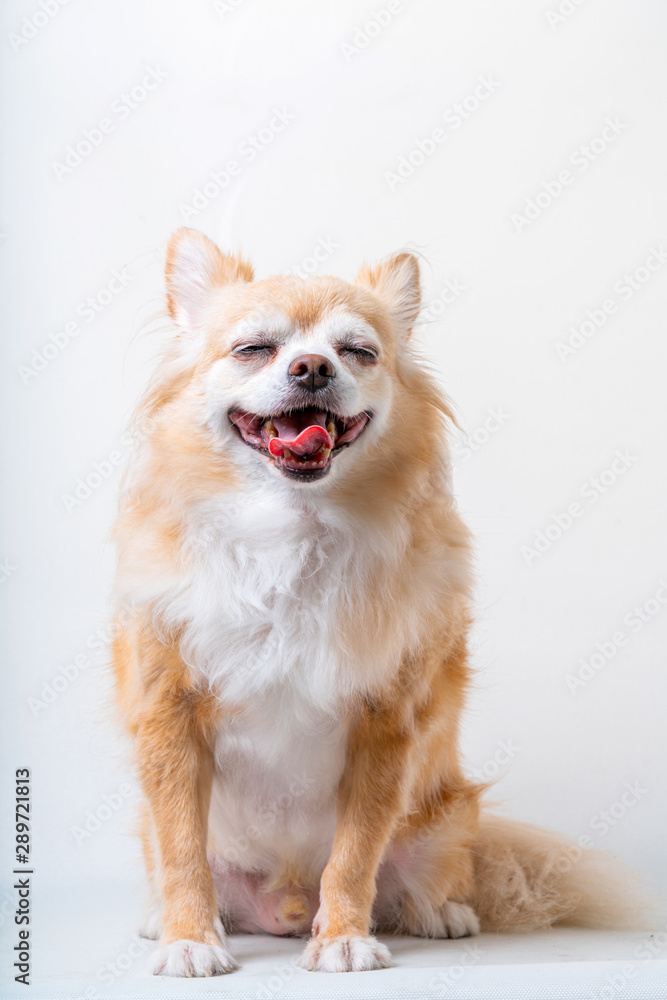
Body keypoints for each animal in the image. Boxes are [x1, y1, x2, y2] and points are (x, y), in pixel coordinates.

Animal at [112, 229, 644, 976]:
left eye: (358, 352)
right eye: (254, 348)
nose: (311, 367)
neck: (293, 533)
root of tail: (282, 907)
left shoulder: (384, 727)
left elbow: (355, 854)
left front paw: (343, 937)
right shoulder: (169, 718)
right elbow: (183, 850)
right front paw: (189, 938)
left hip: (446, 815)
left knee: (429, 871)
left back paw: (439, 912)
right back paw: (171, 917)